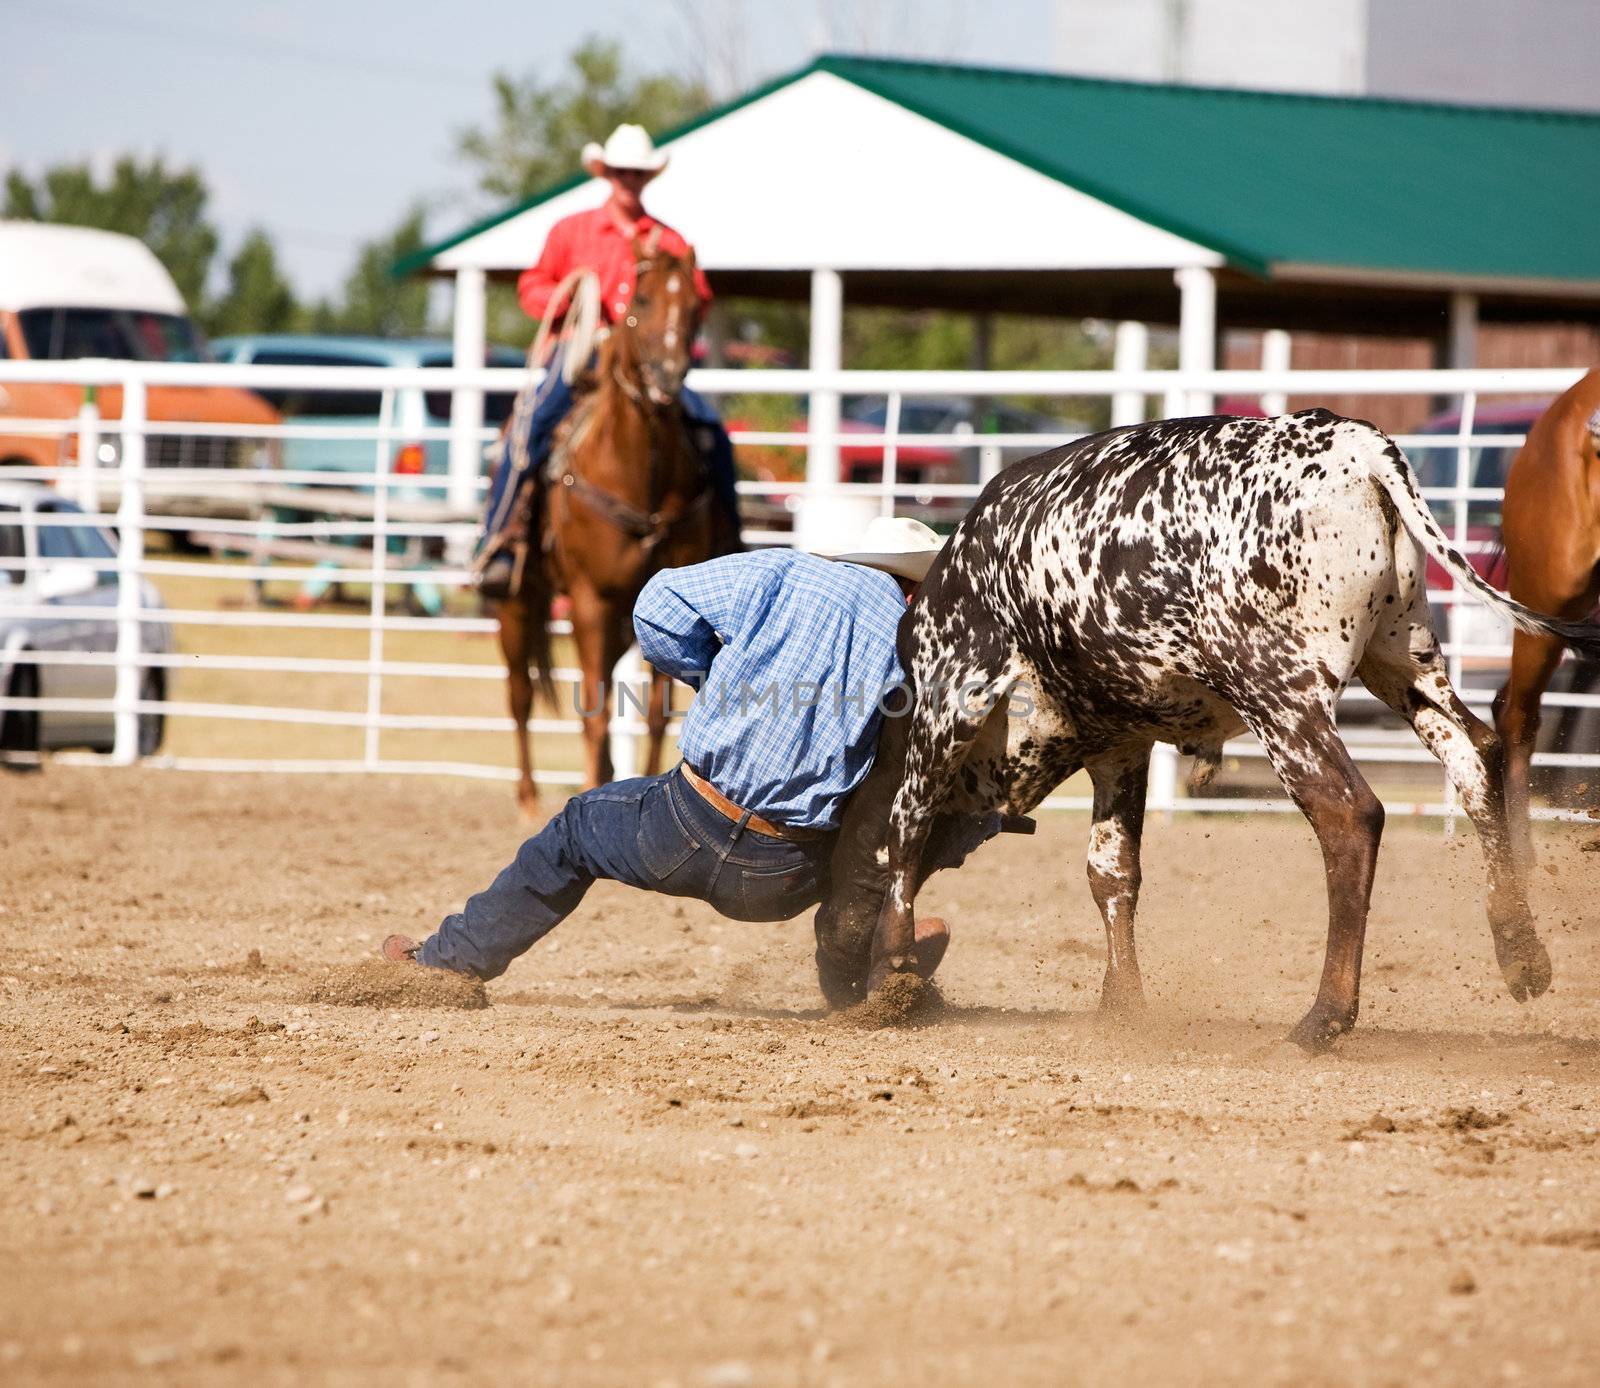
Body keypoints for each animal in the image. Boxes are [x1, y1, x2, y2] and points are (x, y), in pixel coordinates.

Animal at [492, 244, 736, 818]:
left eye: (695, 306)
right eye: (640, 299)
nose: (668, 375)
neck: (639, 475)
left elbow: (656, 715)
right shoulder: (589, 601)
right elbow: (595, 710)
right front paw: (592, 784)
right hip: (518, 600)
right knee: (519, 694)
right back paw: (528, 797)